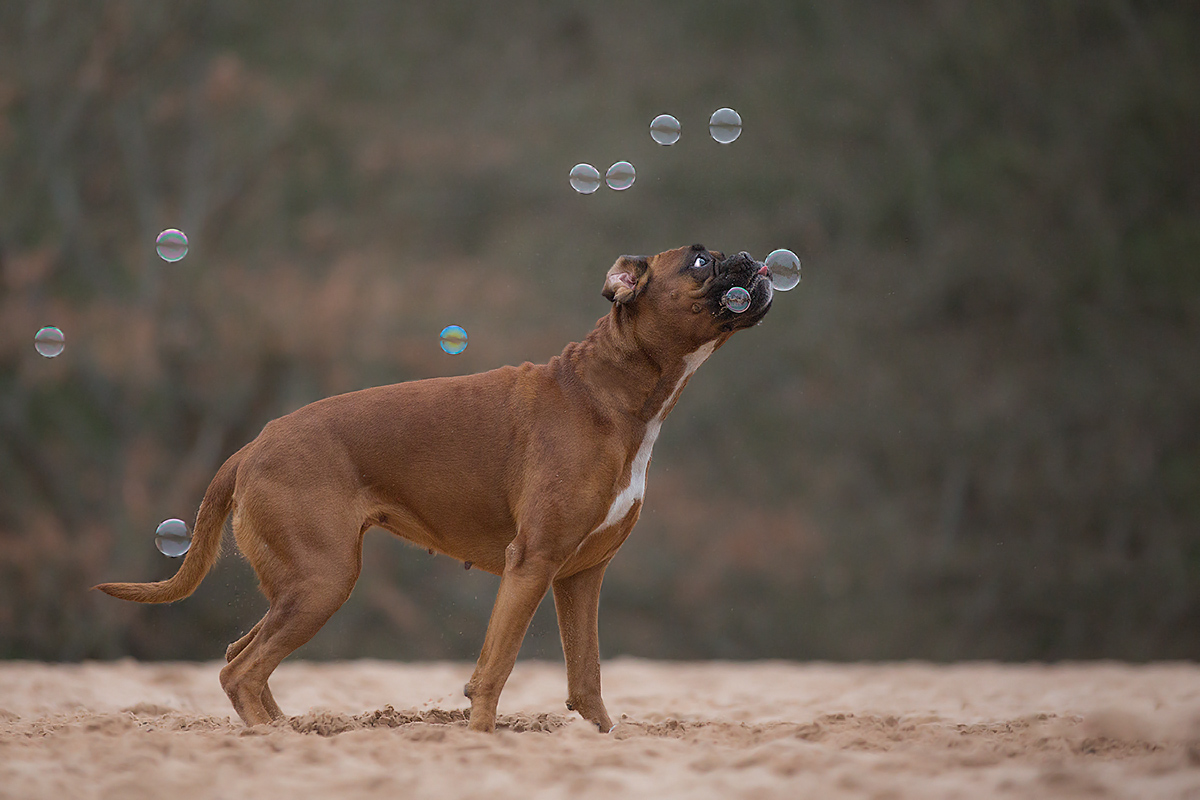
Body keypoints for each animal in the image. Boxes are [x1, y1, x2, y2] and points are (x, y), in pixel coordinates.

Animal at [93, 244, 772, 734]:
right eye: (700, 261)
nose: (751, 258)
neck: (612, 391)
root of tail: (253, 446)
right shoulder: (532, 564)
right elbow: (494, 671)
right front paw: (480, 739)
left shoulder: (580, 578)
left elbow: (588, 679)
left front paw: (604, 738)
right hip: (323, 581)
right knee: (241, 672)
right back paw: (275, 737)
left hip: (302, 587)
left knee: (242, 658)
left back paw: (289, 730)